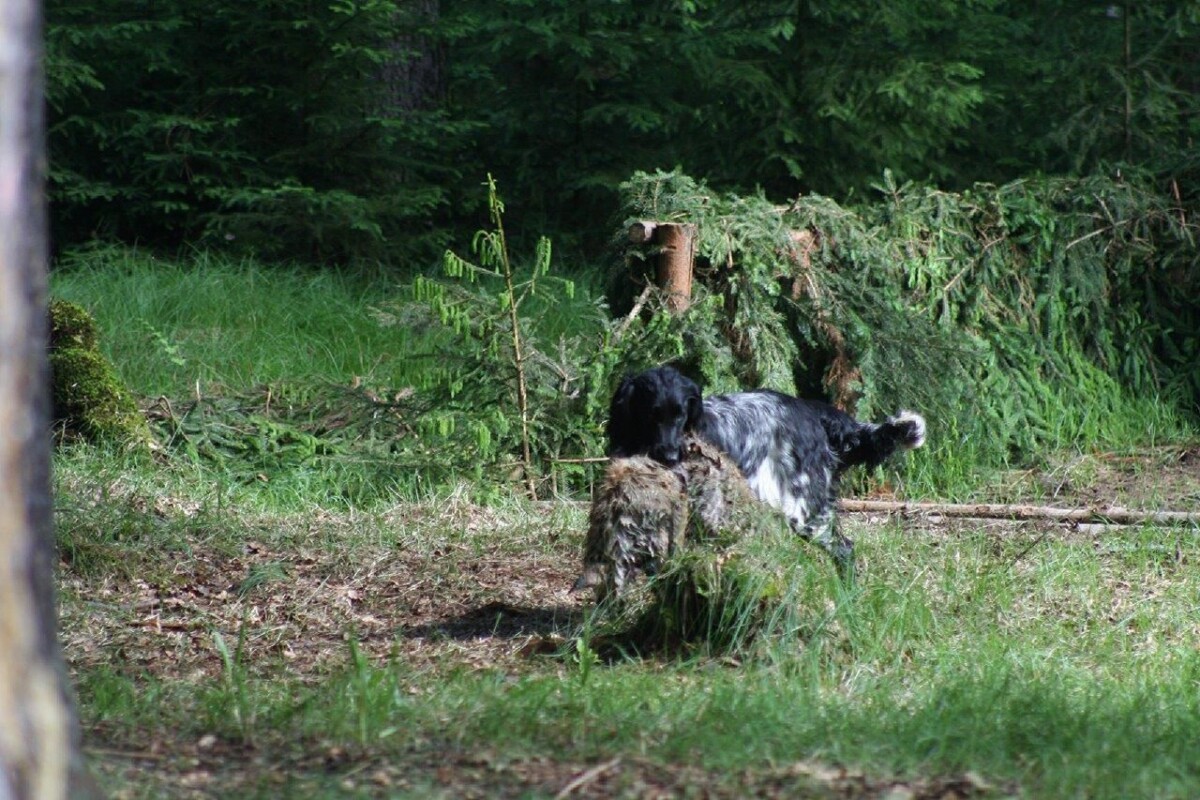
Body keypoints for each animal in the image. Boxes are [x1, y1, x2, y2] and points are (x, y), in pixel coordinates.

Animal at [609, 367, 926, 573]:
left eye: (681, 415)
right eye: (651, 415)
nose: (671, 456)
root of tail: (812, 412)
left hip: (805, 510)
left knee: (844, 549)